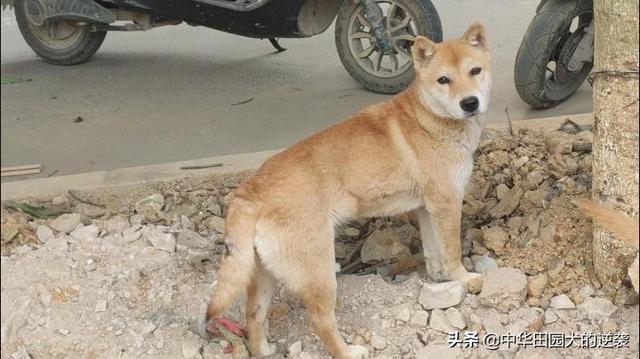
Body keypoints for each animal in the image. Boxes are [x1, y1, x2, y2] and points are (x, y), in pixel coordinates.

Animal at [205, 23, 490, 359]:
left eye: (475, 71)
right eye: (443, 80)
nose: (469, 103)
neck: (428, 118)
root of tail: (250, 190)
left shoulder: (427, 208)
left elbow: (436, 253)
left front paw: (440, 281)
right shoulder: (447, 203)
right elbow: (453, 251)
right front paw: (464, 279)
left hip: (263, 274)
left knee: (253, 315)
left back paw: (263, 349)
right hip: (320, 272)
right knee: (321, 320)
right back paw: (348, 351)